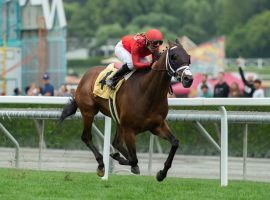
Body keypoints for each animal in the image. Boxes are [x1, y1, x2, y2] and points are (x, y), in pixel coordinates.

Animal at [60, 39, 193, 182]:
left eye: (188, 57)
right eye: (174, 57)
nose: (188, 79)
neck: (147, 92)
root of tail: (85, 75)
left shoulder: (157, 125)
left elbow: (175, 143)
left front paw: (161, 173)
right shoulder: (129, 130)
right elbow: (134, 159)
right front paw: (120, 159)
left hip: (119, 121)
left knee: (116, 143)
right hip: (88, 112)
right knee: (86, 137)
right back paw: (101, 165)